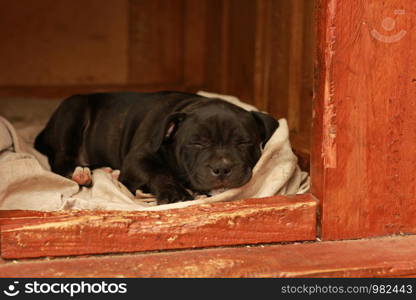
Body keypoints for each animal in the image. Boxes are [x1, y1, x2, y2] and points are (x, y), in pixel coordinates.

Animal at [34, 91, 278, 204]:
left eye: (244, 143)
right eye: (197, 143)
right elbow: (159, 171)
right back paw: (81, 173)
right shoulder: (137, 159)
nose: (222, 168)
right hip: (72, 112)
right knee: (60, 161)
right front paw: (176, 193)